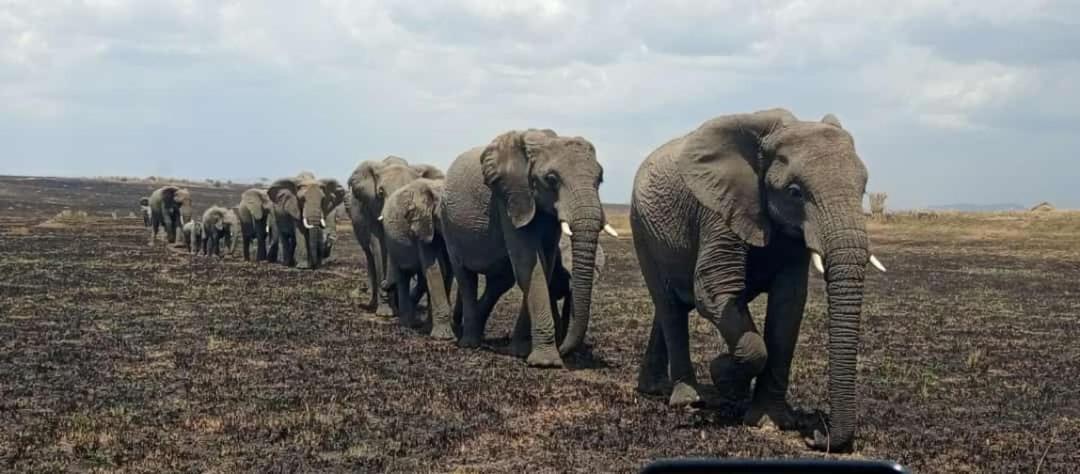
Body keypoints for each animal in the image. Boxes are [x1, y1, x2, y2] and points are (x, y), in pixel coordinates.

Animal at [347, 155, 444, 317]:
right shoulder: (373, 207)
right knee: (369, 255)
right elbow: (379, 246)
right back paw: (373, 303)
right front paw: (385, 313)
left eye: (409, 193)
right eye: (380, 192)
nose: (385, 285)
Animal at [378, 177, 453, 336]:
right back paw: (407, 324)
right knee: (402, 277)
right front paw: (443, 337)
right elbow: (435, 269)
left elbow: (446, 270)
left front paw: (430, 329)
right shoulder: (421, 226)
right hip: (392, 242)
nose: (382, 285)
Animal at [440, 130, 617, 371]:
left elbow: (544, 265)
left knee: (499, 282)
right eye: (551, 179)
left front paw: (520, 352)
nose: (565, 350)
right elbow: (529, 265)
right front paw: (546, 363)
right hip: (448, 225)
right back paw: (470, 343)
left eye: (600, 179)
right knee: (466, 277)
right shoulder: (510, 198)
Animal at [630, 108, 885, 453]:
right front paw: (722, 374)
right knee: (669, 306)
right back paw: (688, 399)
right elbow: (714, 290)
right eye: (794, 192)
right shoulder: (718, 209)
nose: (818, 435)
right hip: (641, 228)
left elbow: (789, 305)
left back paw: (654, 388)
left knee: (670, 307)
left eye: (863, 190)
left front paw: (771, 420)